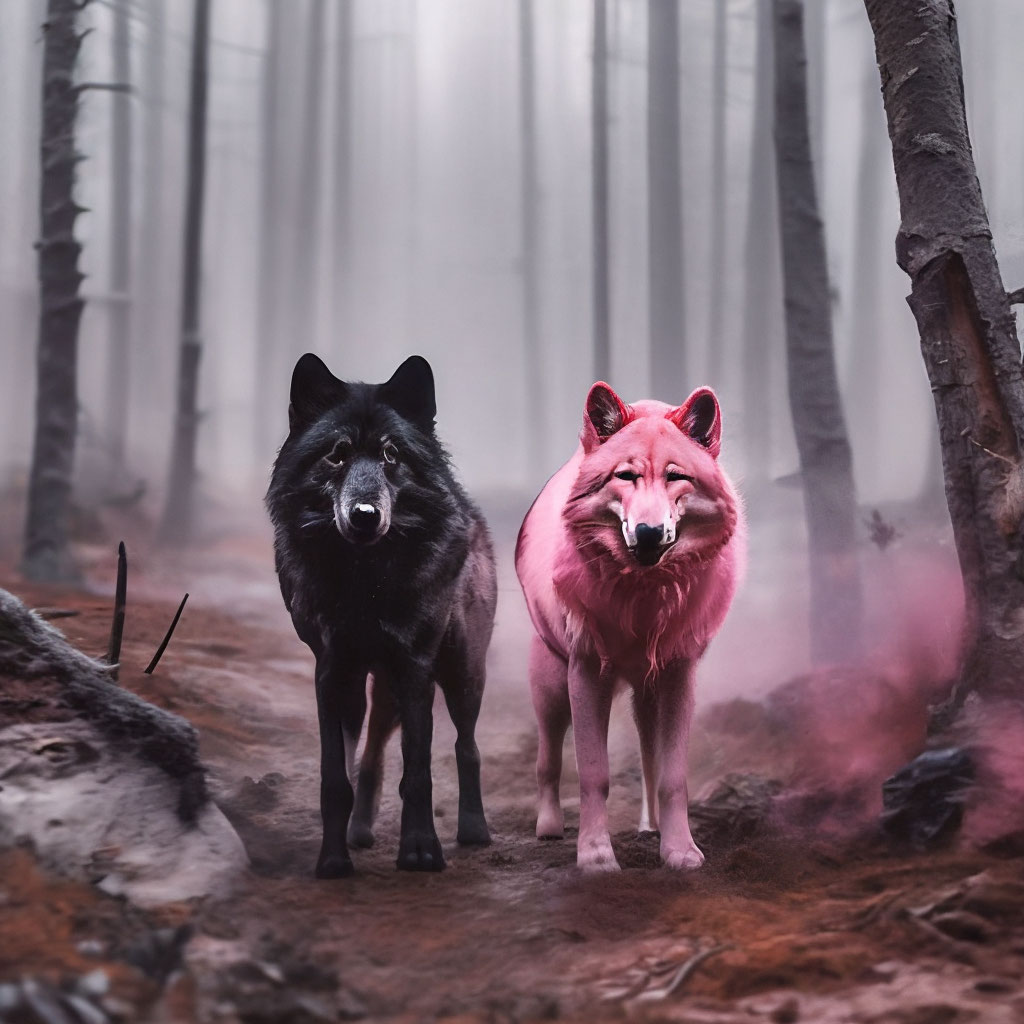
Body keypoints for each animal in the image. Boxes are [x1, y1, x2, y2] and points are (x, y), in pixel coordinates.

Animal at [266, 353, 497, 877]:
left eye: (391, 455)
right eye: (337, 454)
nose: (365, 514)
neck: (365, 582)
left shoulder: (415, 668)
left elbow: (419, 771)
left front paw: (421, 852)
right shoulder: (331, 672)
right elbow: (336, 777)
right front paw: (333, 859)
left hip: (460, 674)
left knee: (466, 746)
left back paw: (474, 830)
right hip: (370, 686)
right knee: (368, 756)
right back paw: (359, 832)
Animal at [515, 381, 745, 872]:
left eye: (676, 477)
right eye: (625, 476)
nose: (648, 532)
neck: (644, 596)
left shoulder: (678, 675)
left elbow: (673, 776)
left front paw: (679, 851)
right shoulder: (586, 675)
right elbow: (594, 774)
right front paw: (595, 856)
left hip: (647, 694)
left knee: (648, 759)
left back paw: (652, 827)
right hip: (552, 689)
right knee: (547, 759)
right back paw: (549, 825)